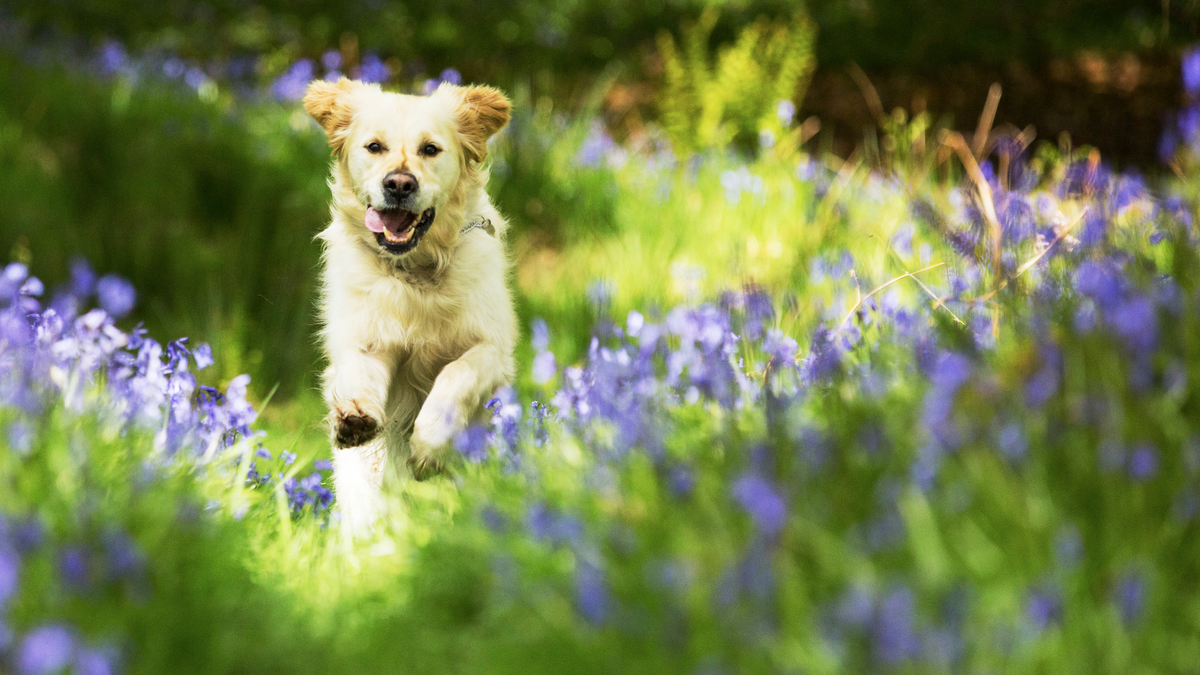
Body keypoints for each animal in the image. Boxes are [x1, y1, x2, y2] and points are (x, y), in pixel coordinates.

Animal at [302, 77, 513, 530]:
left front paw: (429, 444)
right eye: (374, 147)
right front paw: (356, 415)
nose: (399, 184)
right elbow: (360, 376)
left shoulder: (492, 349)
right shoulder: (367, 340)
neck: (414, 271)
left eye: (430, 149)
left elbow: (455, 374)